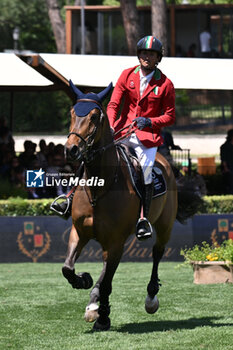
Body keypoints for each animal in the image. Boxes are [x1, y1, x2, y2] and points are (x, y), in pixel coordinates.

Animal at [62, 80, 177, 330]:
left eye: (95, 116)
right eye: (72, 113)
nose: (71, 149)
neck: (99, 189)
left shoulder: (115, 240)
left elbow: (107, 282)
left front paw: (103, 318)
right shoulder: (79, 232)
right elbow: (68, 268)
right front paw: (84, 281)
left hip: (164, 226)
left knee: (157, 252)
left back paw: (150, 298)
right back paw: (93, 301)